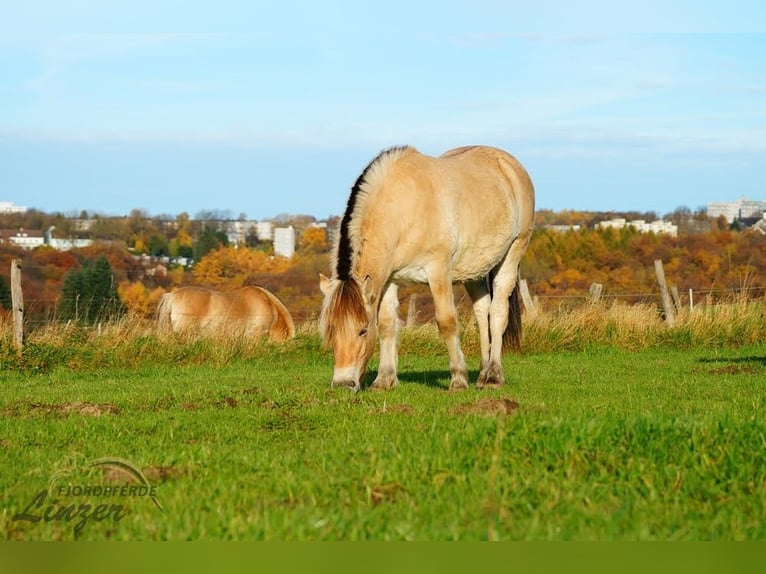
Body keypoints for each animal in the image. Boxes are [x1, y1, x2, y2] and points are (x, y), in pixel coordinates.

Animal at [319, 145, 535, 392]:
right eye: (330, 330)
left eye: (363, 330)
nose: (342, 384)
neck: (403, 209)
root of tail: (510, 165)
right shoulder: (389, 279)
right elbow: (387, 325)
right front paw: (384, 380)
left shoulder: (438, 271)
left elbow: (447, 322)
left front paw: (458, 379)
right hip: (475, 272)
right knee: (483, 312)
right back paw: (482, 373)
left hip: (513, 252)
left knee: (498, 312)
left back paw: (493, 376)